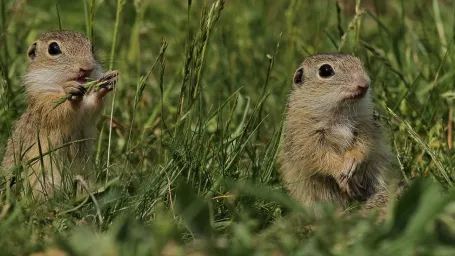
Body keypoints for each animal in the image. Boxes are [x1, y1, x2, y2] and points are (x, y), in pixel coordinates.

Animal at [0, 30, 118, 198]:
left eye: (92, 47)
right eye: (53, 49)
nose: (87, 68)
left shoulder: (85, 115)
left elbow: (91, 108)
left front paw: (107, 82)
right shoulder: (44, 102)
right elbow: (58, 109)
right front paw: (71, 91)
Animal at [280, 53, 400, 215]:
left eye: (359, 62)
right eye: (325, 70)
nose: (364, 84)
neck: (340, 112)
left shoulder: (365, 125)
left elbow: (364, 144)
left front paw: (352, 160)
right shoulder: (307, 137)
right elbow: (321, 155)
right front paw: (341, 172)